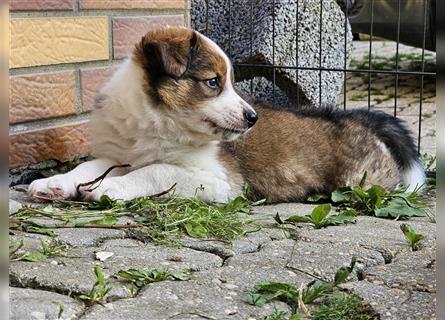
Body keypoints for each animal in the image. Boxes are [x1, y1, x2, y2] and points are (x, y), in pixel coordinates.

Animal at [26, 26, 424, 202]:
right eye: (214, 82)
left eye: (228, 81)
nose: (252, 118)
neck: (157, 124)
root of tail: (355, 117)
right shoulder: (121, 152)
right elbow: (91, 165)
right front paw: (56, 181)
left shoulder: (219, 181)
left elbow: (157, 170)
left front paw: (111, 187)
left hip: (361, 182)